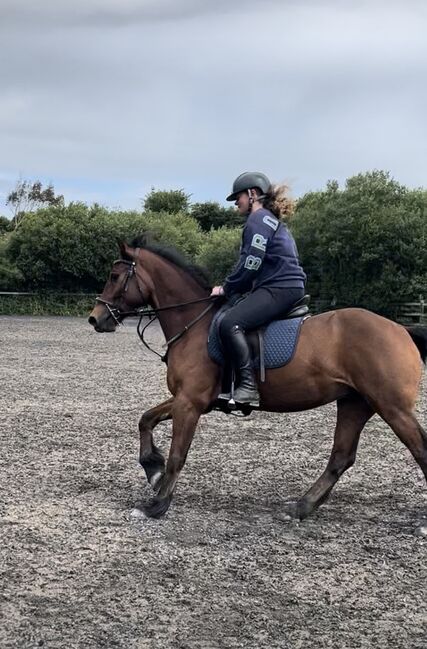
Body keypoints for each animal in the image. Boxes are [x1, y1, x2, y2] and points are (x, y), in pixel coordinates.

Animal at [88, 240, 427, 520]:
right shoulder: (189, 399)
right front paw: (152, 469)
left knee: (419, 449)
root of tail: (401, 329)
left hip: (391, 407)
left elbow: (177, 455)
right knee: (341, 457)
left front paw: (157, 504)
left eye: (115, 276)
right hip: (354, 404)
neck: (193, 325)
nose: (95, 318)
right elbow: (145, 419)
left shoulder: (190, 403)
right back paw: (301, 507)